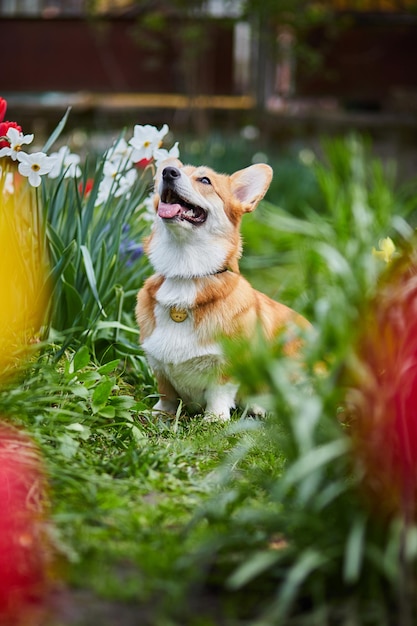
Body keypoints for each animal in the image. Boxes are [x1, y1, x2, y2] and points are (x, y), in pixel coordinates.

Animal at [135, 158, 308, 420]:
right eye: (173, 171)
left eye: (205, 180)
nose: (168, 171)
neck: (186, 274)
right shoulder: (157, 363)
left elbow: (219, 392)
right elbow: (166, 392)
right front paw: (161, 413)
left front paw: (214, 419)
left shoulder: (228, 364)